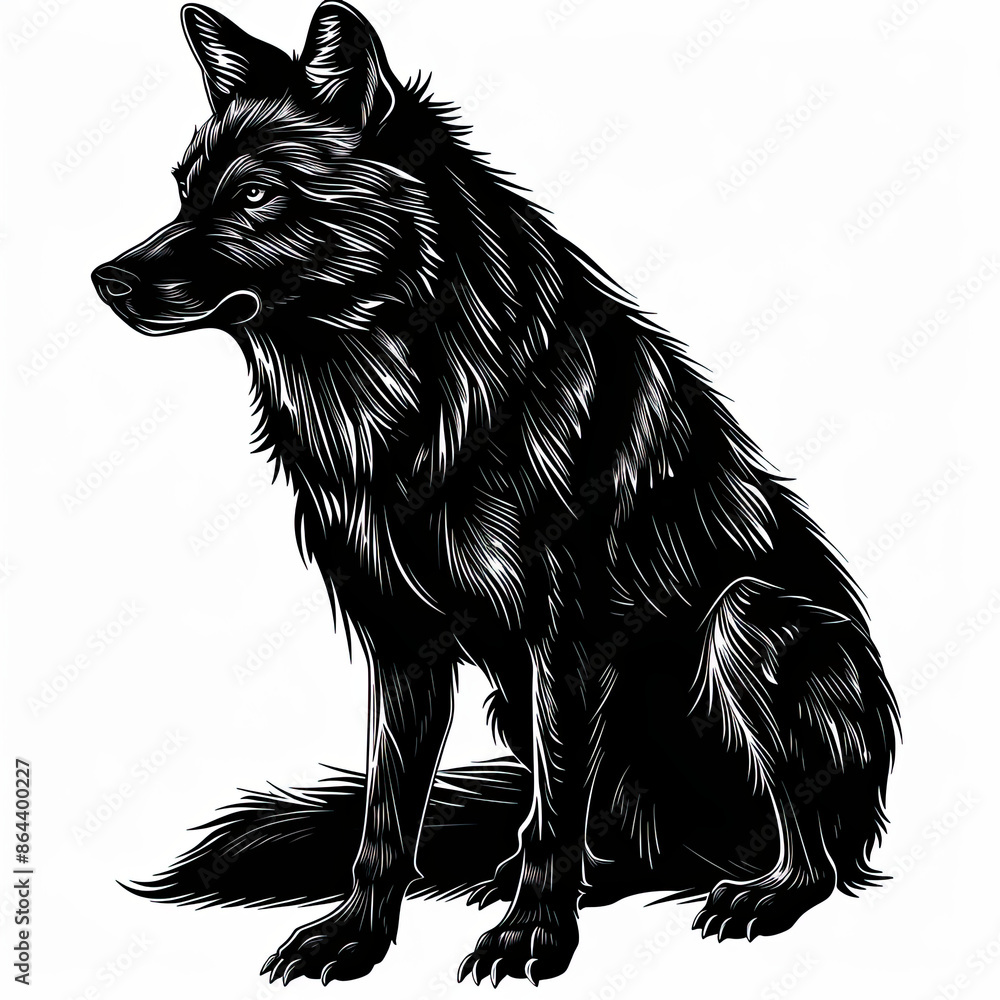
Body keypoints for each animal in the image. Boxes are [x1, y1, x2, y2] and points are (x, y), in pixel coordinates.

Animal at [92, 1, 899, 987]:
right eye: (184, 191)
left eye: (254, 196)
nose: (108, 279)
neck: (401, 399)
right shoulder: (403, 644)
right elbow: (389, 816)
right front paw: (358, 934)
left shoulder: (566, 637)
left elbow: (552, 806)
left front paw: (533, 936)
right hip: (524, 706)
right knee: (618, 839)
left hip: (752, 620)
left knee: (802, 839)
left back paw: (763, 892)